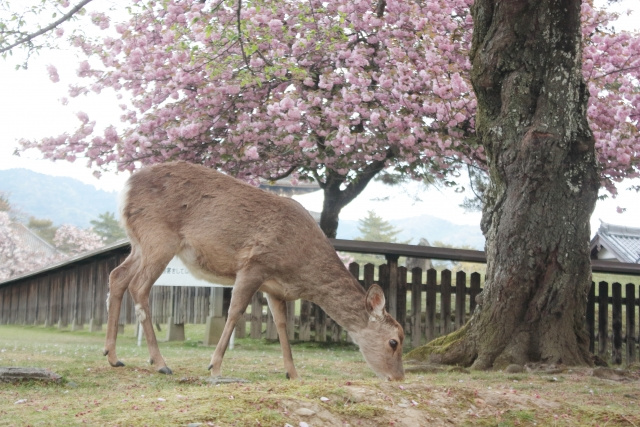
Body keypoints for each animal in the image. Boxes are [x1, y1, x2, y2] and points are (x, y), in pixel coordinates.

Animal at [104, 161, 405, 381]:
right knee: (139, 286)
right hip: (159, 237)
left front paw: (293, 373)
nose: (398, 378)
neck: (300, 270)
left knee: (117, 276)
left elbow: (282, 325)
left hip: (139, 243)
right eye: (393, 341)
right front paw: (215, 367)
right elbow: (235, 312)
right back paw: (160, 363)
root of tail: (125, 189)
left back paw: (113, 356)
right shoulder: (254, 265)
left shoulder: (275, 288)